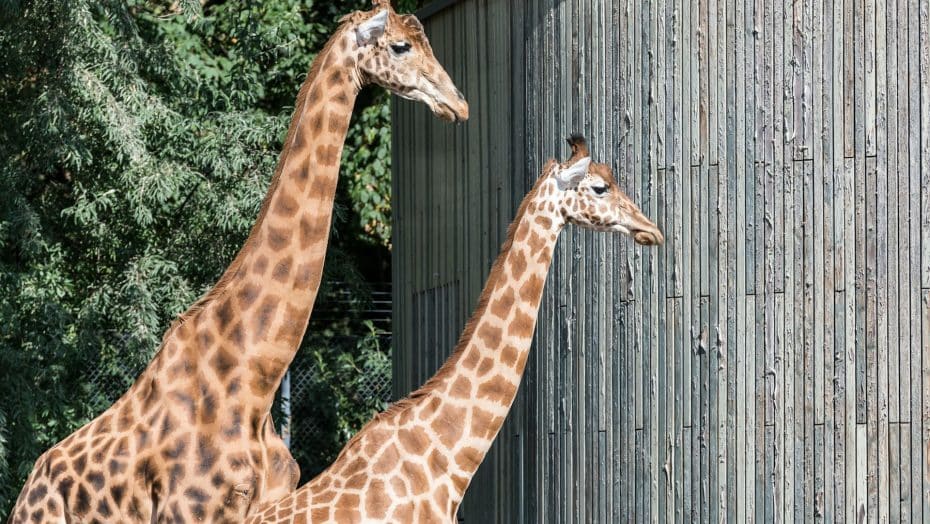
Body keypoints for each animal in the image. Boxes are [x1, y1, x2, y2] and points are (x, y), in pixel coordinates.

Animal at [10, 2, 468, 520]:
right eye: (400, 46)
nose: (458, 103)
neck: (255, 379)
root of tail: (27, 490)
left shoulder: (272, 500)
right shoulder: (187, 508)